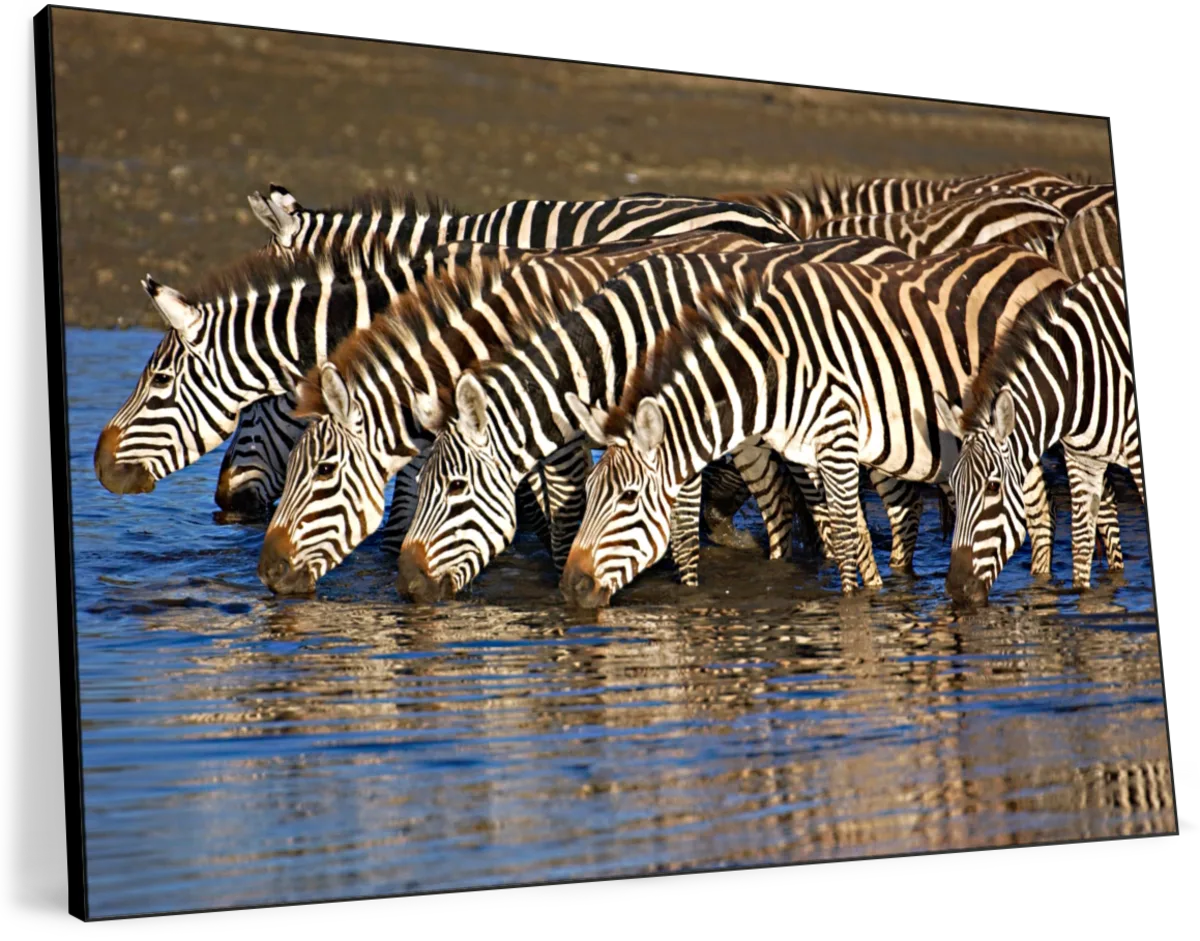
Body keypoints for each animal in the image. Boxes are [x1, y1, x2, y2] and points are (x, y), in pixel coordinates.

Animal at [394, 240, 1066, 604]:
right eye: (420, 486)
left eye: (454, 490)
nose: (404, 586)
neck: (618, 345)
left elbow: (681, 522)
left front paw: (688, 597)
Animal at [934, 266, 1139, 604]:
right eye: (952, 484)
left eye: (993, 487)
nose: (956, 590)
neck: (1074, 377)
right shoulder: (1083, 460)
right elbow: (1081, 544)